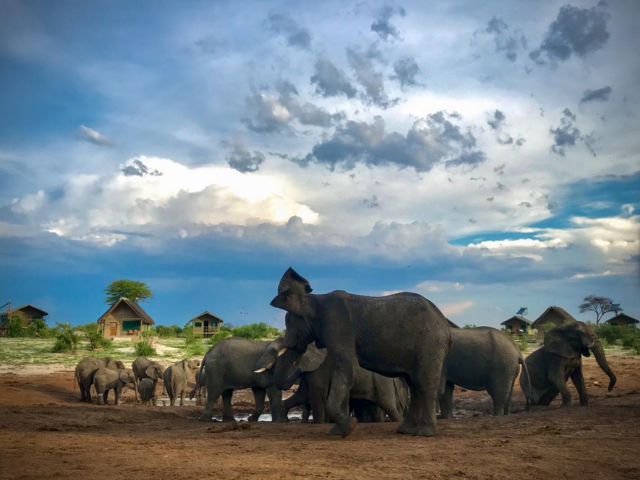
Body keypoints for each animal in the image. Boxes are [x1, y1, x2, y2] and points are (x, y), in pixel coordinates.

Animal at [255, 338, 409, 424]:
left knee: (388, 406)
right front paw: (282, 421)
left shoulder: (320, 368)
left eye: (277, 351)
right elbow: (302, 395)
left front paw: (319, 424)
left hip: (382, 383)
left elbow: (316, 396)